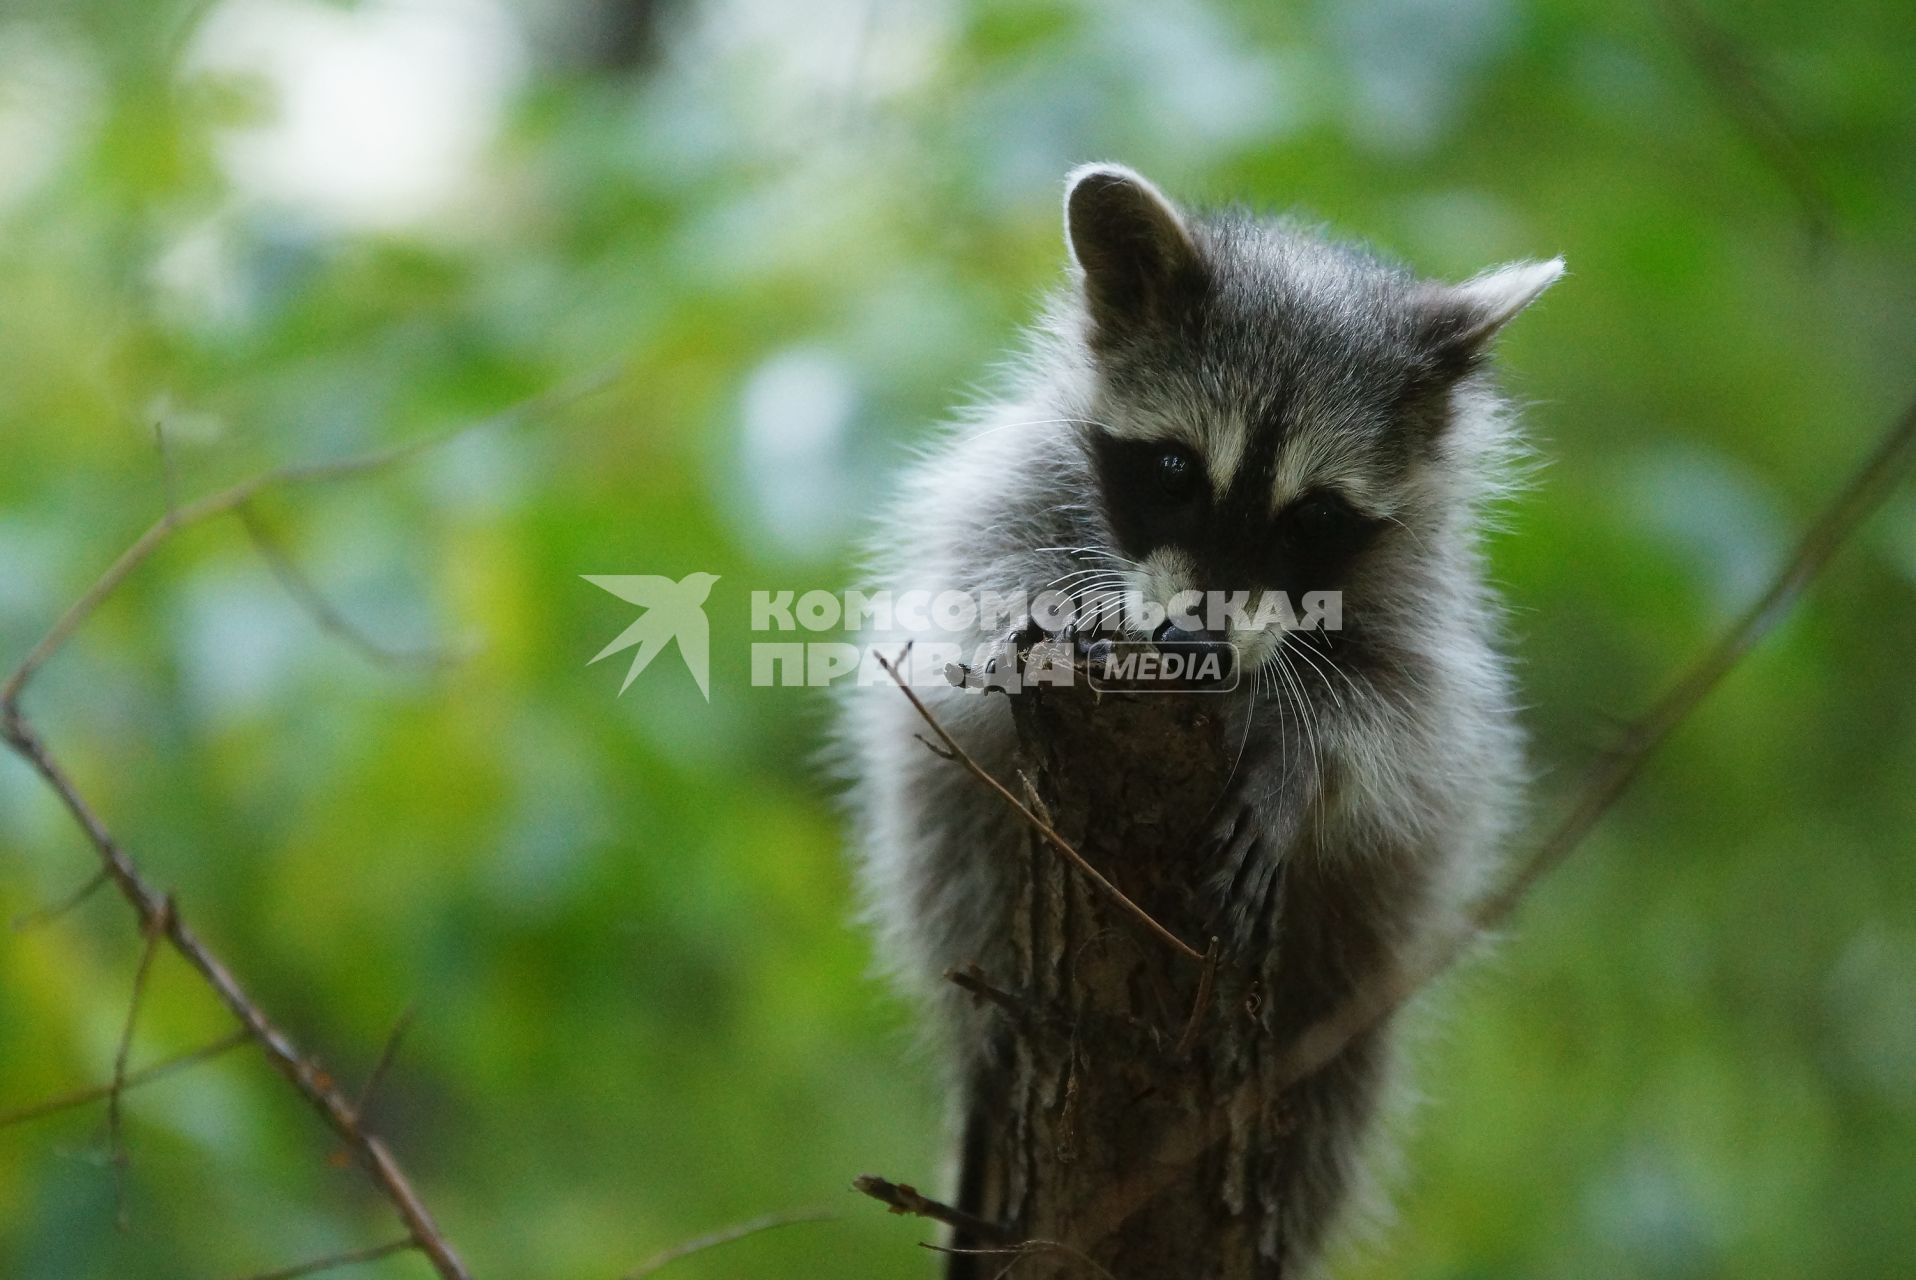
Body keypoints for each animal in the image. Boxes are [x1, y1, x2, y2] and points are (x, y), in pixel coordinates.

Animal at [839, 164, 1555, 1272]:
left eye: (1314, 516)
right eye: (1176, 469)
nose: (1200, 640)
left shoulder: (1423, 604)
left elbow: (1403, 724)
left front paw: (1298, 762)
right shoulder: (1014, 487)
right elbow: (971, 613)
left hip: (1355, 969)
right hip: (944, 843)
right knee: (945, 839)